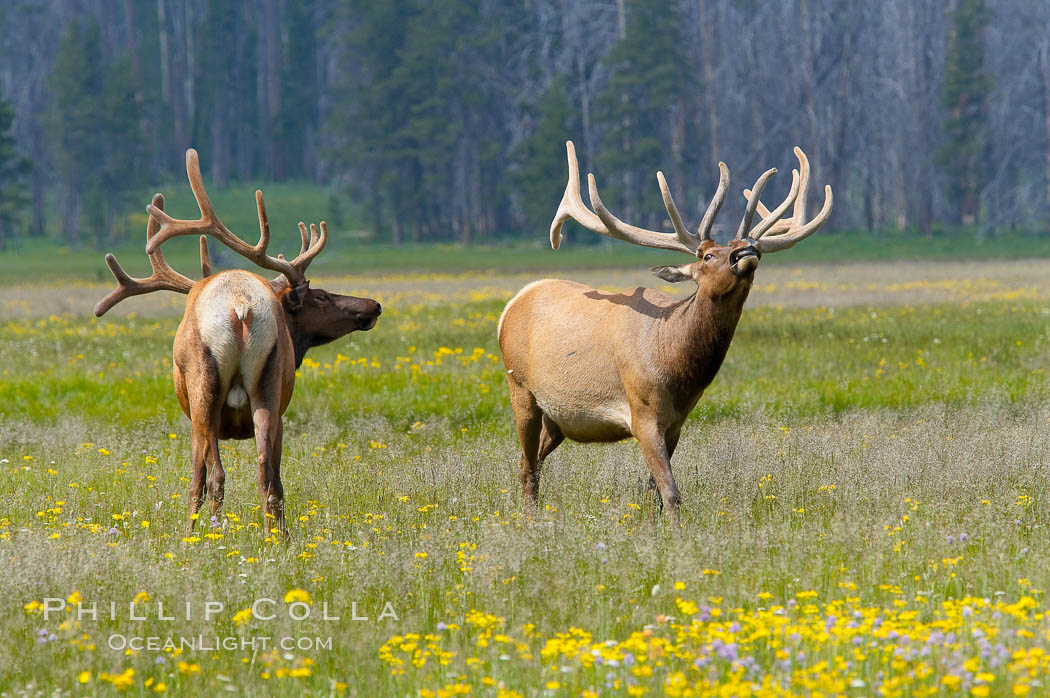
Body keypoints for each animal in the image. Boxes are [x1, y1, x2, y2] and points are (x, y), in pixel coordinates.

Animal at [94, 147, 382, 533]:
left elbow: (196, 480)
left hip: (204, 390)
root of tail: (241, 304)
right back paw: (275, 537)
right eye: (321, 296)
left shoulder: (194, 420)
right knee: (268, 475)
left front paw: (189, 533)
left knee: (217, 476)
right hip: (269, 388)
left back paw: (213, 534)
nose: (373, 305)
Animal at [495, 141, 831, 520]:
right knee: (527, 466)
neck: (676, 366)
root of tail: (512, 305)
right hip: (521, 388)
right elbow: (671, 492)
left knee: (532, 460)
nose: (747, 251)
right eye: (707, 255)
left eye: (750, 247)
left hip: (558, 418)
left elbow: (652, 492)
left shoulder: (676, 422)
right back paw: (532, 521)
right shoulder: (642, 413)